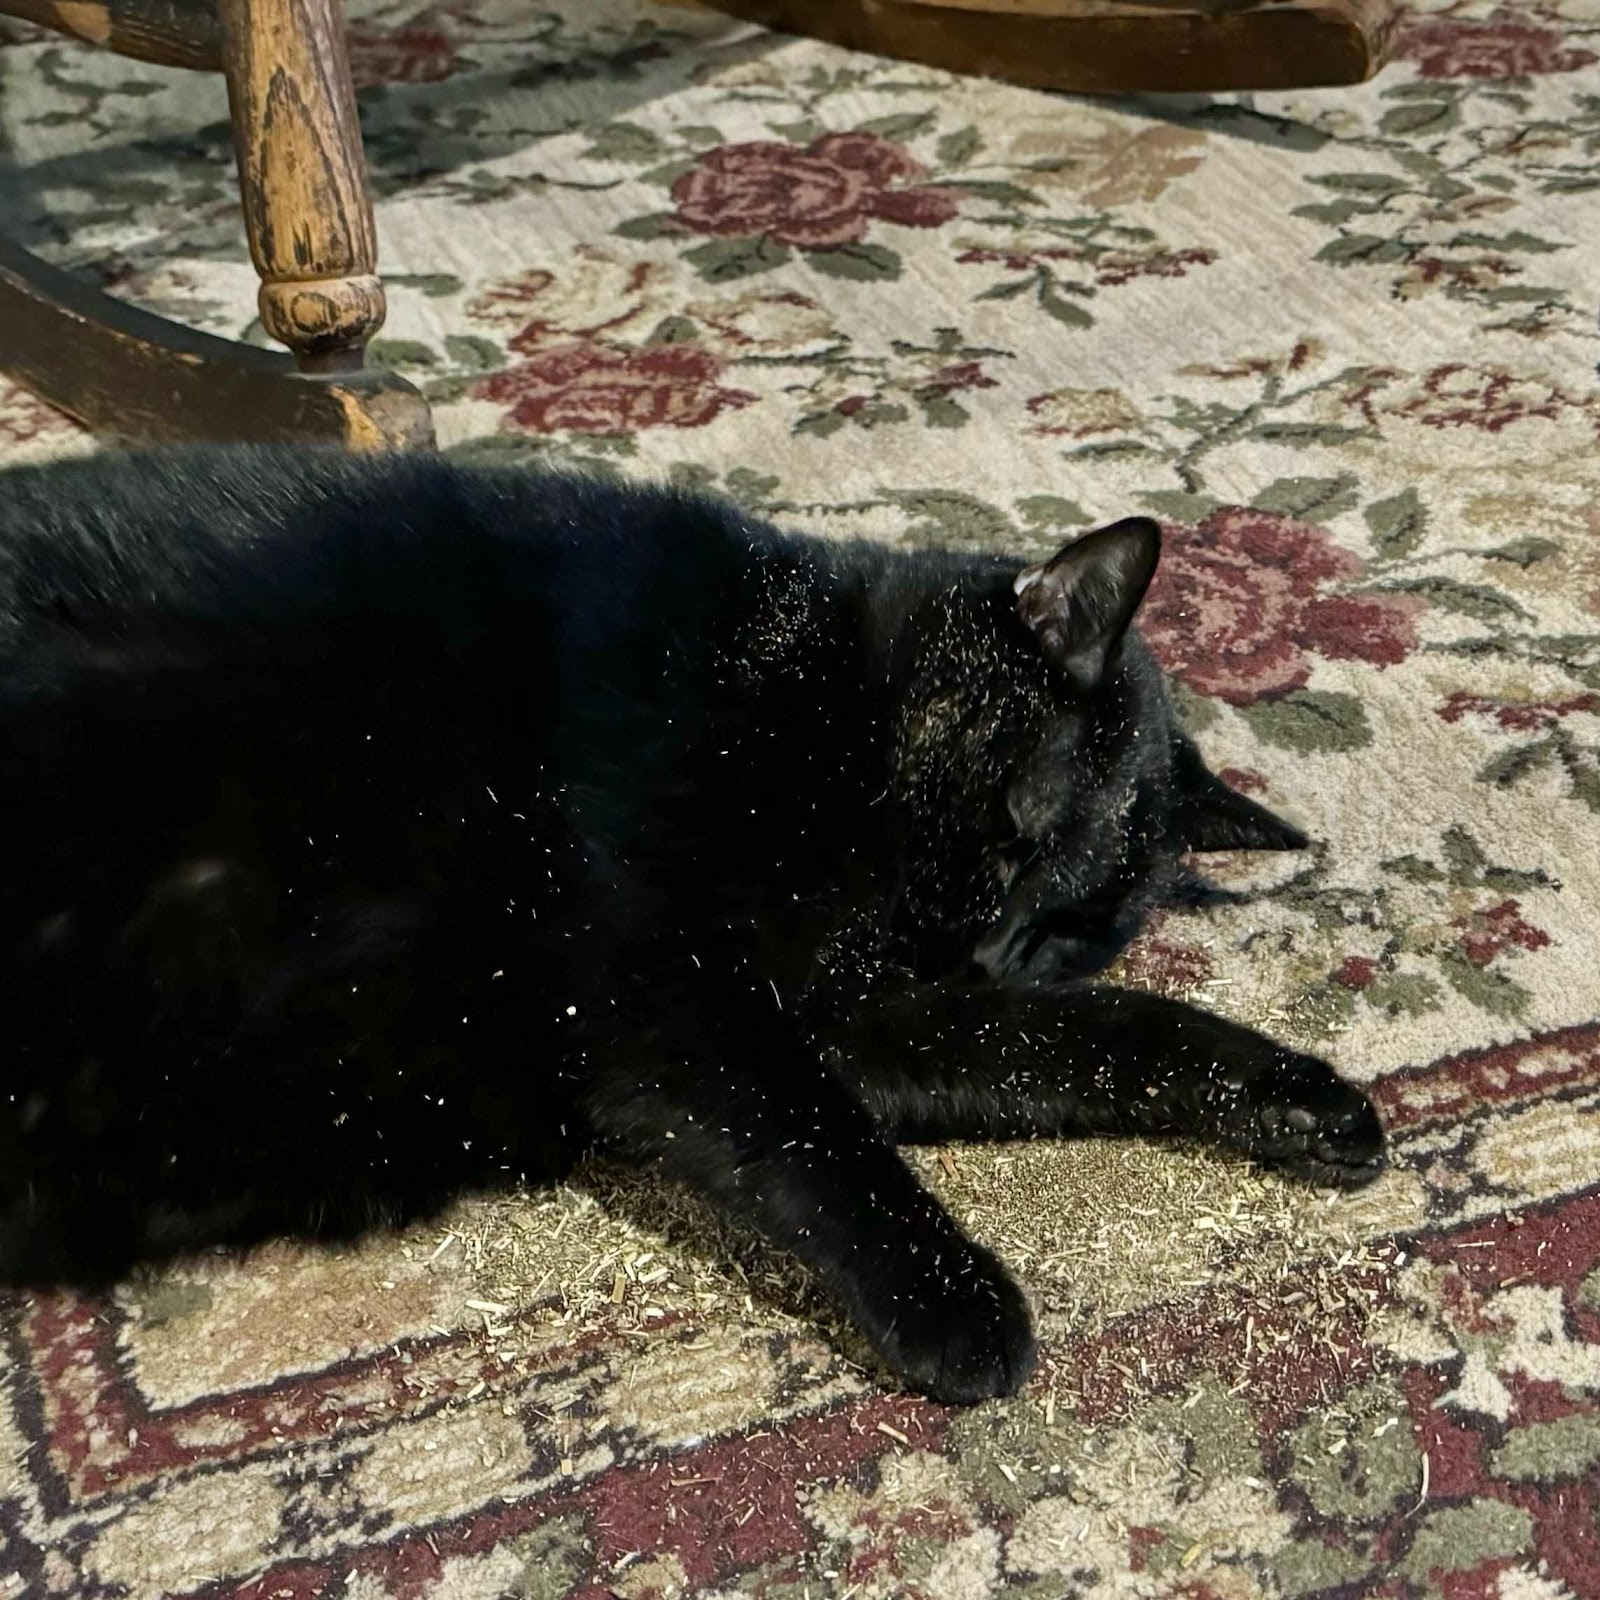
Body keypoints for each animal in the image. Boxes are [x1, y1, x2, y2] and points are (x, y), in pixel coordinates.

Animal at [0, 445, 1384, 1402]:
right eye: (1021, 823)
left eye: (1076, 925)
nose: (990, 950)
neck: (812, 686)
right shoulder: (664, 985)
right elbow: (811, 1135)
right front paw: (958, 1302)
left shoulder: (873, 1018)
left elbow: (1098, 1035)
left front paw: (1302, 1101)